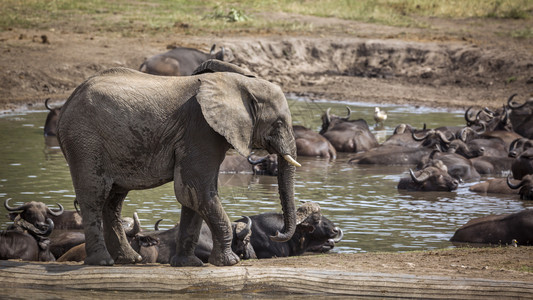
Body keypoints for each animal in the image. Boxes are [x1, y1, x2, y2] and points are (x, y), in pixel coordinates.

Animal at [58, 59, 302, 266]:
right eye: (279, 123)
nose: (276, 233)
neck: (238, 83)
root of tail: (68, 102)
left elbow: (191, 195)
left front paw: (189, 264)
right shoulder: (200, 130)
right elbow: (198, 191)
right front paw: (230, 262)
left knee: (113, 201)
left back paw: (130, 259)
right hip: (84, 141)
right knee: (94, 196)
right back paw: (103, 262)